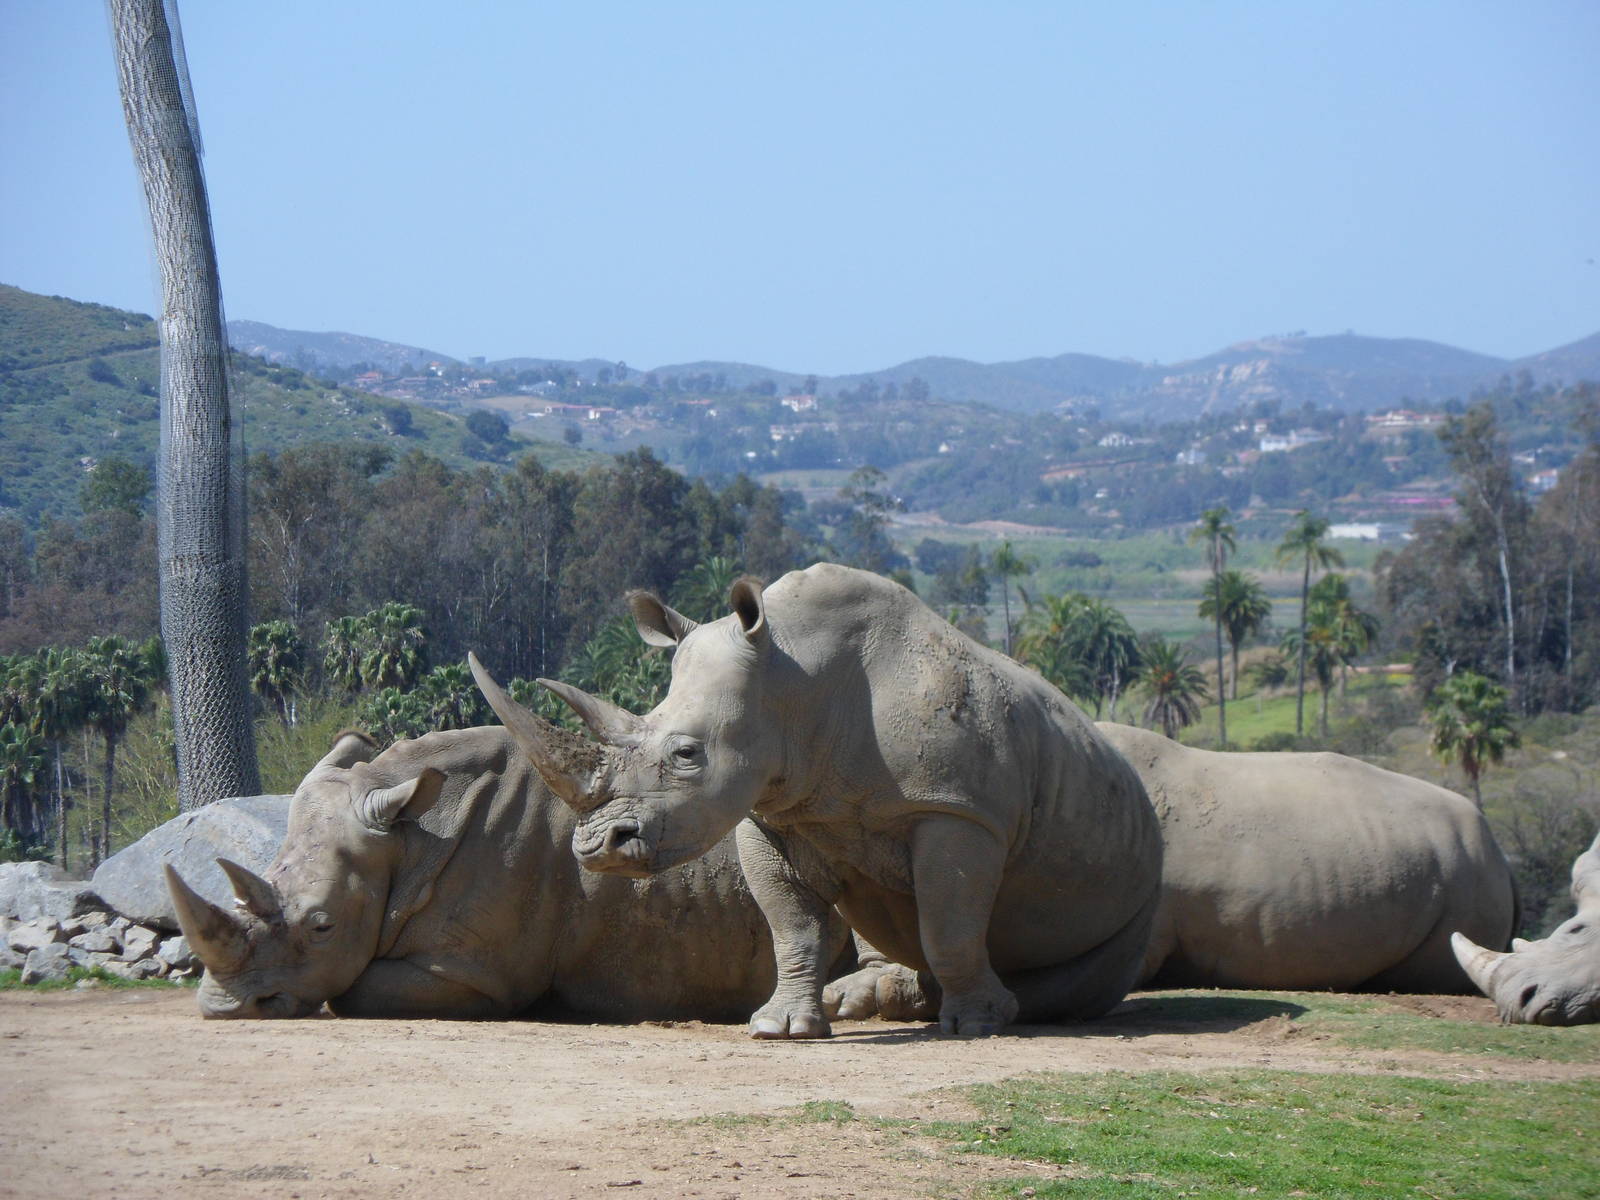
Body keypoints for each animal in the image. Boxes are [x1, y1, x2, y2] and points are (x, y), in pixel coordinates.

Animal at [472, 562, 1165, 1038]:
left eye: (688, 755)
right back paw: (875, 1000)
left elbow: (950, 919)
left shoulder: (956, 809)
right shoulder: (769, 814)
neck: (793, 676)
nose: (595, 848)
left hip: (1138, 852)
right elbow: (792, 926)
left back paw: (1009, 1008)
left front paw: (980, 1025)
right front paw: (780, 1027)